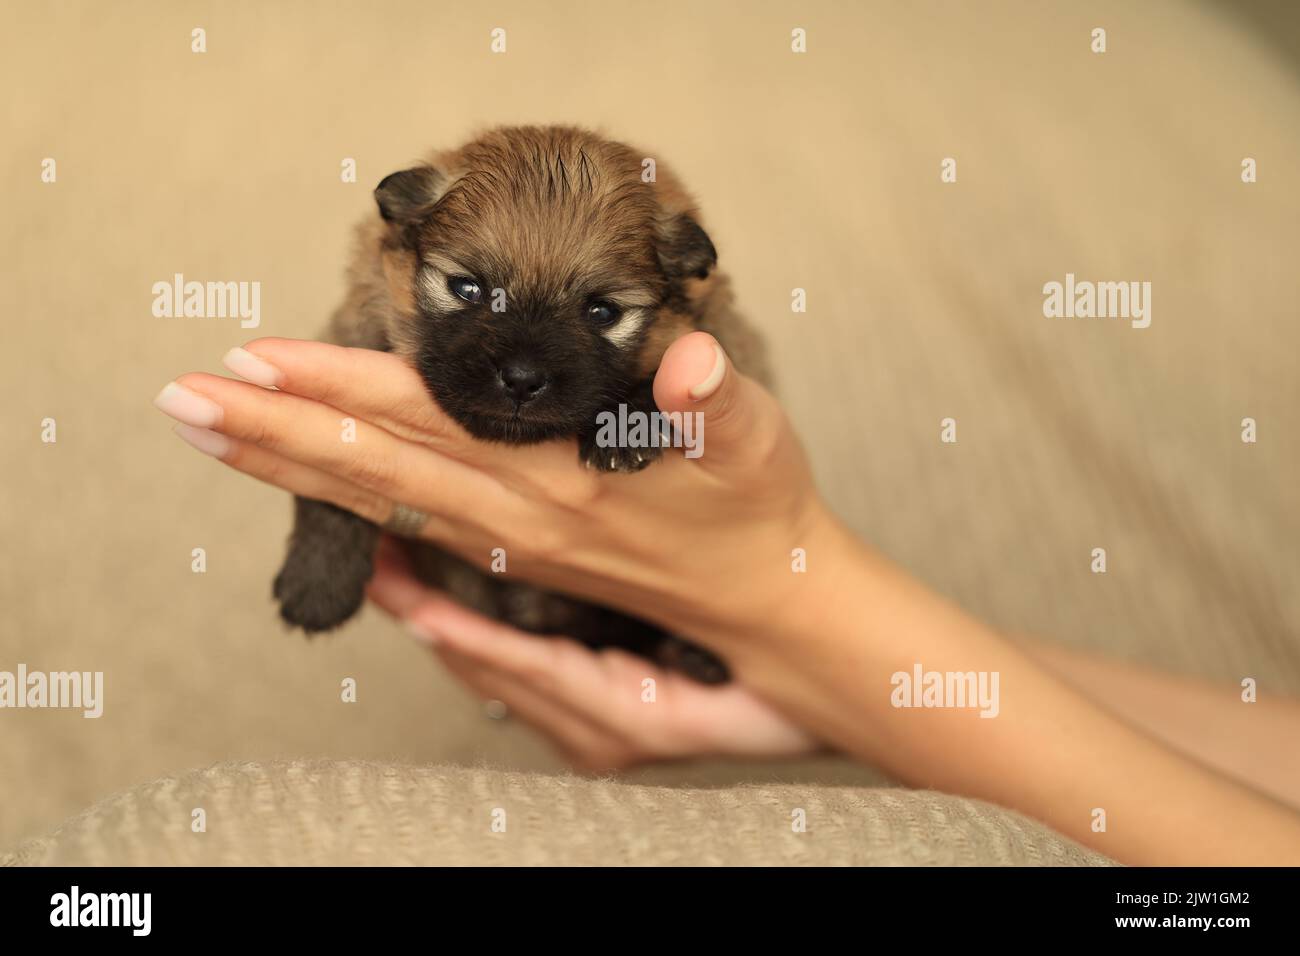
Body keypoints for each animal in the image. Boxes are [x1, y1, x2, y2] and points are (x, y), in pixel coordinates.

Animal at [270, 125, 764, 681]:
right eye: (467, 288)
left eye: (602, 312)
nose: (523, 380)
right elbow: (334, 485)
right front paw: (319, 582)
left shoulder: (730, 344)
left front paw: (625, 427)